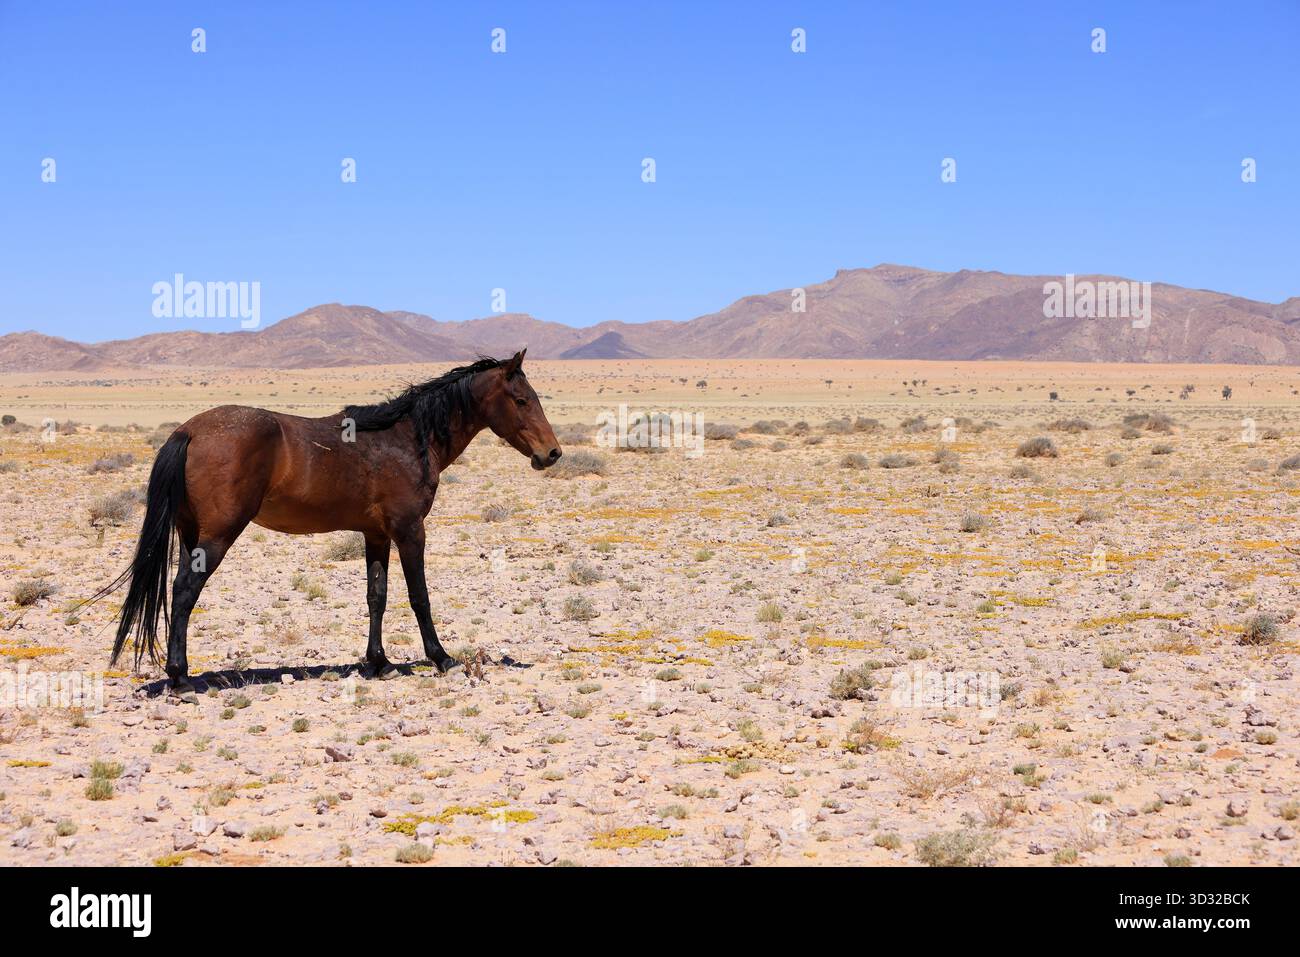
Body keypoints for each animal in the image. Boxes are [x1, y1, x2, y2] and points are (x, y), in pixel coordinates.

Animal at [94, 349, 561, 693]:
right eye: (522, 400)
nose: (552, 453)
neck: (407, 439)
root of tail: (188, 430)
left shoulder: (376, 535)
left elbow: (377, 596)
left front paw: (380, 663)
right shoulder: (410, 531)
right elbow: (419, 597)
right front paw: (442, 657)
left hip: (192, 533)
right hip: (219, 535)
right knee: (185, 590)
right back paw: (181, 678)